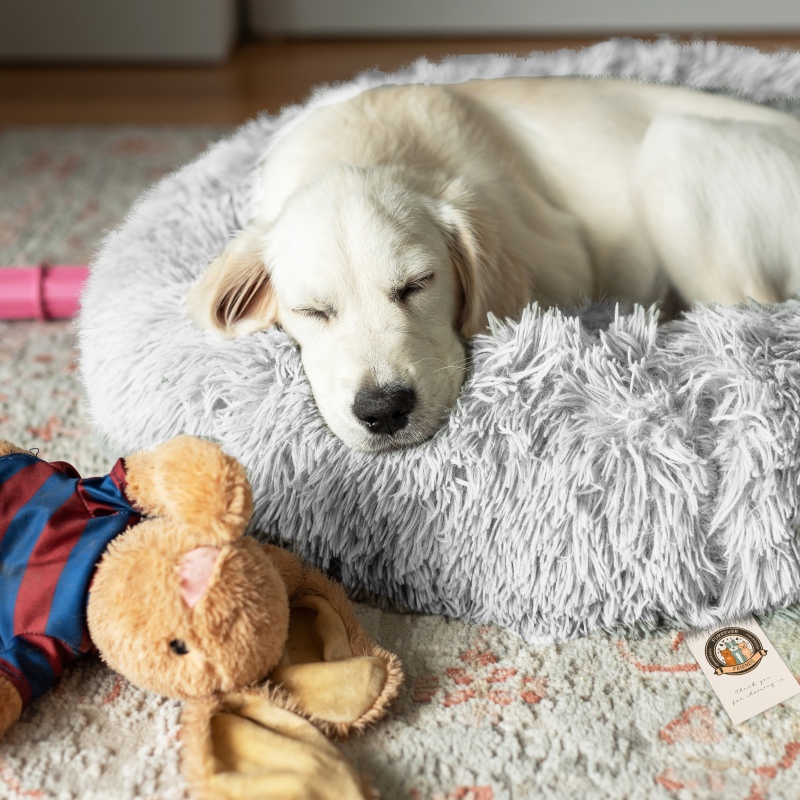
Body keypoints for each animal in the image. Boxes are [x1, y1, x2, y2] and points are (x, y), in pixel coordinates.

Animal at [186, 78, 800, 454]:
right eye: (312, 311)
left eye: (419, 285)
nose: (384, 411)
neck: (366, 141)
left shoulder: (564, 254)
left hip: (675, 146)